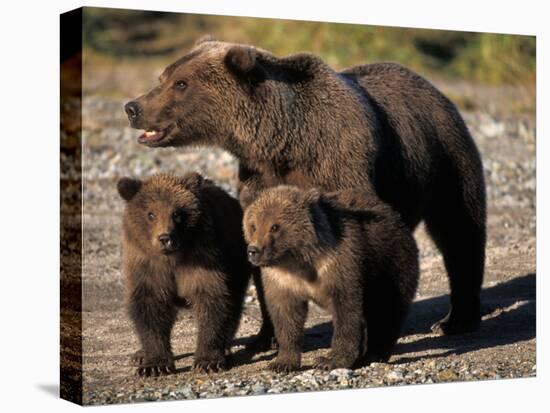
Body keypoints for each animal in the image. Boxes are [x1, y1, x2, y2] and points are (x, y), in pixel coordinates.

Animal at [125, 37, 488, 342]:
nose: (132, 107)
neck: (285, 142)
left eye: (181, 83)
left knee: (460, 231)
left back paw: (455, 319)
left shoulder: (341, 167)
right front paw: (268, 334)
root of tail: (431, 86)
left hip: (445, 156)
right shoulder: (258, 180)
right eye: (163, 76)